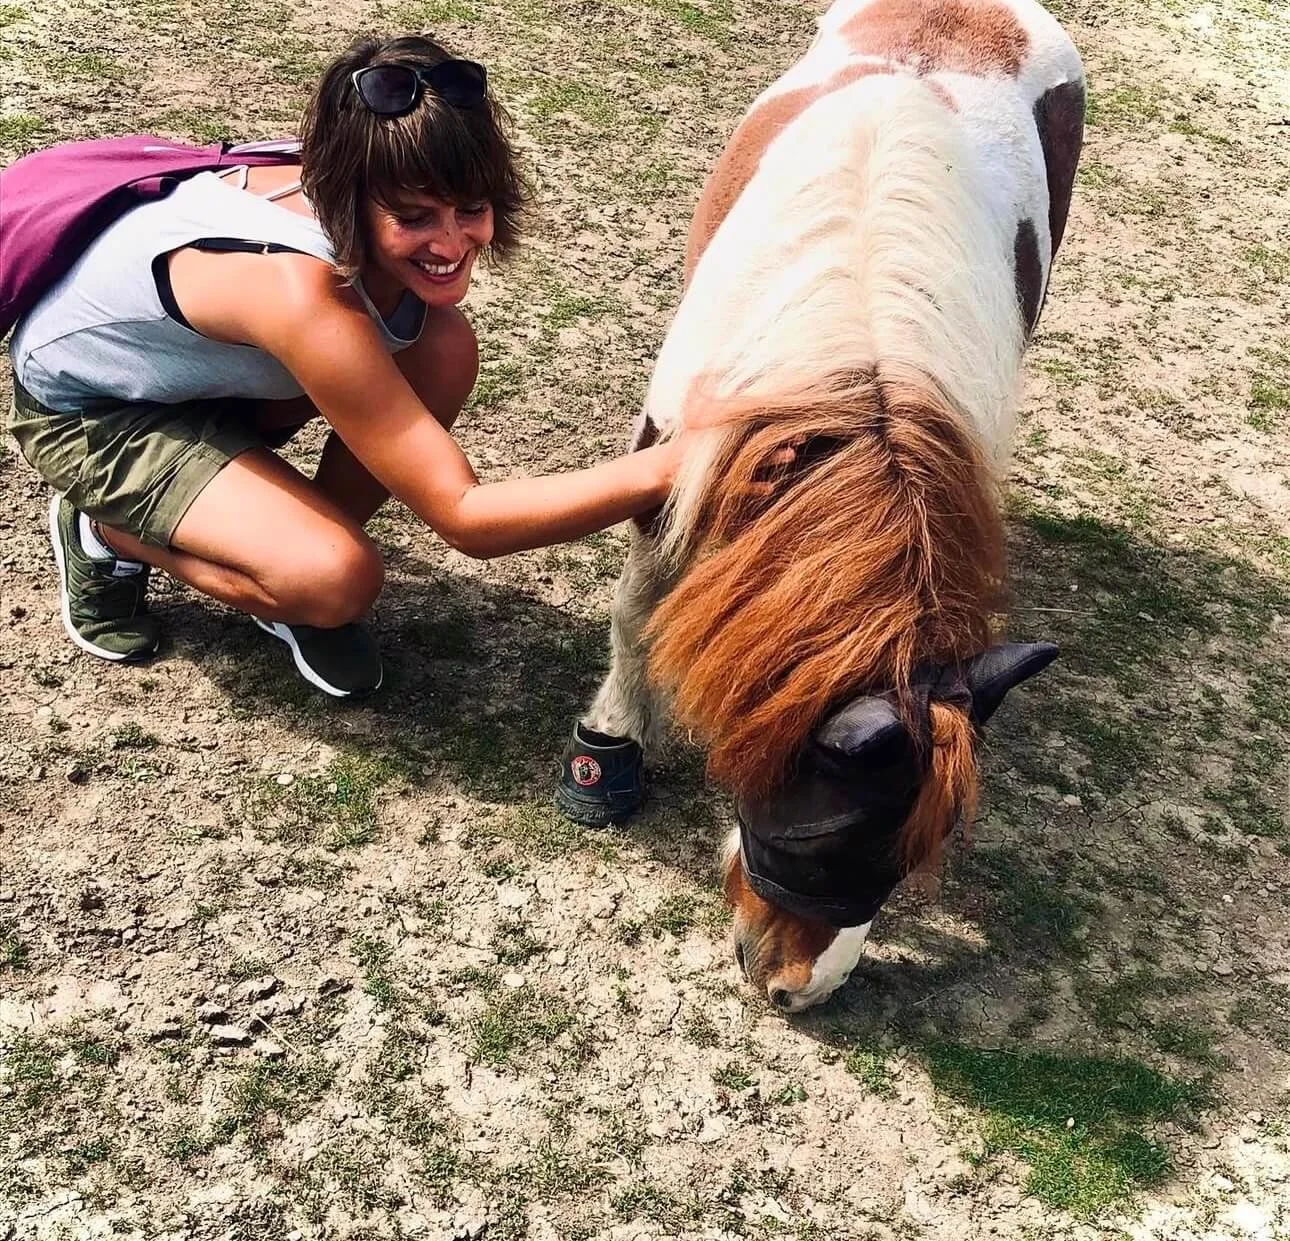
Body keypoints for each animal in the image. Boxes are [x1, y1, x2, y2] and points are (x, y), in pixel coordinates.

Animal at [554, 0, 1086, 1012]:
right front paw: (614, 737)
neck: (856, 371)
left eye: (912, 853)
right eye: (826, 841)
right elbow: (638, 609)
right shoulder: (672, 463)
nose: (798, 989)